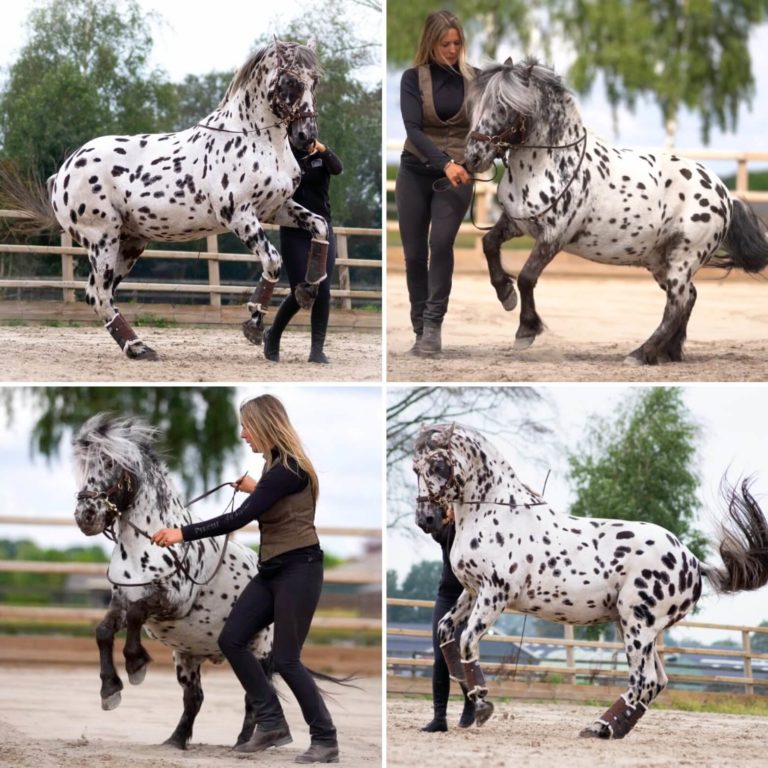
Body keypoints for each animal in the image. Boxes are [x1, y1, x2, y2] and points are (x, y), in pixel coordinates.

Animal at [12, 43, 328, 362]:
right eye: (290, 81)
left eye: (315, 81)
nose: (306, 136)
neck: (259, 141)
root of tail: (63, 172)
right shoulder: (239, 215)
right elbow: (273, 260)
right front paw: (253, 323)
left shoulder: (275, 209)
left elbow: (320, 226)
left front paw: (308, 288)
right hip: (102, 240)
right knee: (100, 296)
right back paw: (138, 347)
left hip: (130, 243)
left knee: (98, 294)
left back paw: (138, 347)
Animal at [70, 414, 272, 752]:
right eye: (84, 466)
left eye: (110, 463)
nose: (86, 516)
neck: (147, 542)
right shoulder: (121, 600)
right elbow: (103, 632)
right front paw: (110, 690)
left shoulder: (172, 602)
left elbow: (137, 615)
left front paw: (136, 664)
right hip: (189, 657)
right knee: (195, 698)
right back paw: (175, 741)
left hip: (260, 652)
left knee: (255, 696)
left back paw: (244, 743)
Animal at [414, 424, 768, 740]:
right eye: (415, 467)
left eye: (438, 465)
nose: (426, 519)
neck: (493, 513)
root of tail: (692, 561)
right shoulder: (472, 592)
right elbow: (446, 633)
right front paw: (470, 697)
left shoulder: (494, 594)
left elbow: (467, 641)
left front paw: (482, 704)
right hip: (635, 626)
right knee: (656, 681)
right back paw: (605, 728)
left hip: (638, 624)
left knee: (644, 680)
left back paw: (602, 727)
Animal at [462, 58, 768, 364]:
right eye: (476, 105)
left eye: (504, 107)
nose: (472, 158)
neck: (549, 163)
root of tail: (724, 194)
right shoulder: (517, 223)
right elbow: (489, 243)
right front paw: (505, 293)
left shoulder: (554, 236)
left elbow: (527, 277)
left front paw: (526, 330)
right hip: (661, 260)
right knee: (688, 298)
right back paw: (668, 352)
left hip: (684, 257)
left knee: (677, 304)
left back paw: (640, 354)